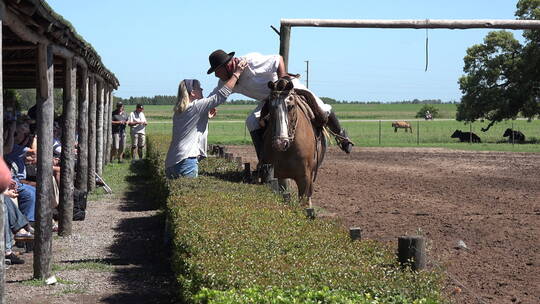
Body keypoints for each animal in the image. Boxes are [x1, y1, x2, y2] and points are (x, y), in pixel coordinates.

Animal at [260, 79, 326, 207]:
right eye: (270, 107)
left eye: (290, 106)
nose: (281, 143)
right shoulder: (278, 176)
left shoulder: (304, 178)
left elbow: (304, 201)